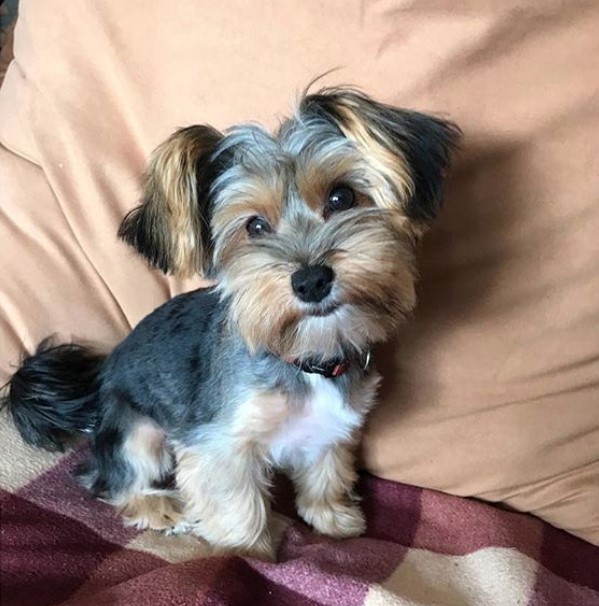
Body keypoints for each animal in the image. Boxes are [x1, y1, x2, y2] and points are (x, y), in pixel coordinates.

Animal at [1, 89, 460, 560]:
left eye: (342, 198)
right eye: (255, 225)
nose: (311, 280)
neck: (303, 358)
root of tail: (95, 392)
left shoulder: (331, 430)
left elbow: (325, 475)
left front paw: (333, 520)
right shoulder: (218, 445)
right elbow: (238, 506)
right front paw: (249, 553)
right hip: (136, 433)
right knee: (109, 481)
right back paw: (162, 507)